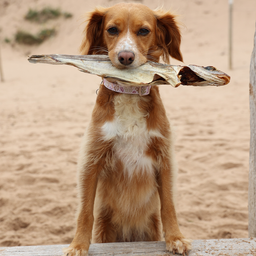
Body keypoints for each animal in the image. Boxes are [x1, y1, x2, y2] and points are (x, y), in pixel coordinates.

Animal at [64, 2, 190, 256]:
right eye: (112, 30)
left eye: (144, 31)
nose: (125, 57)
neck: (129, 90)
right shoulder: (91, 159)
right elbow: (85, 210)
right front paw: (78, 245)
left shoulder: (164, 157)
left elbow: (168, 205)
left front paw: (176, 238)